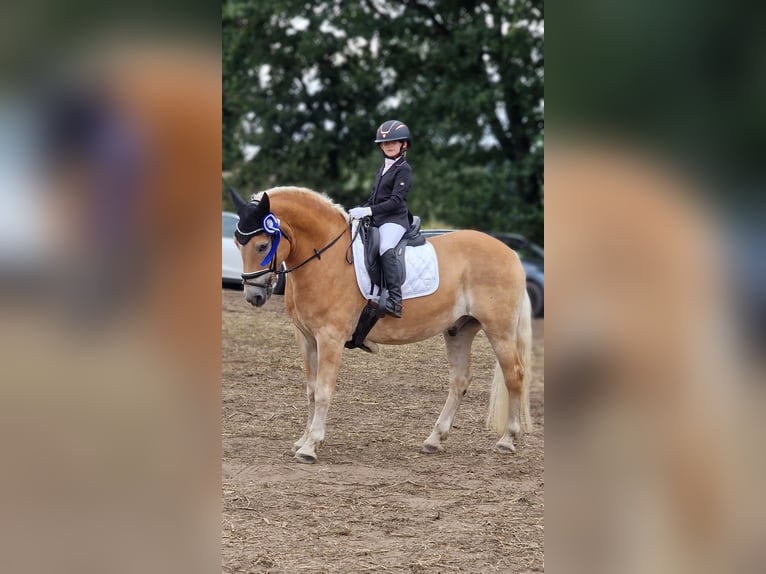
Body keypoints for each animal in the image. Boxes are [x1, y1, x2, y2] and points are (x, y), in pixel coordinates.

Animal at [231, 187, 536, 466]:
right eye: (237, 243)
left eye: (262, 246)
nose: (253, 296)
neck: (325, 258)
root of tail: (510, 253)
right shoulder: (306, 338)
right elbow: (311, 390)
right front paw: (303, 440)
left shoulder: (330, 338)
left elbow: (324, 391)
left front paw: (310, 446)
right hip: (458, 330)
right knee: (460, 380)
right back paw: (434, 440)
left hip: (499, 331)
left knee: (514, 376)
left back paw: (507, 440)